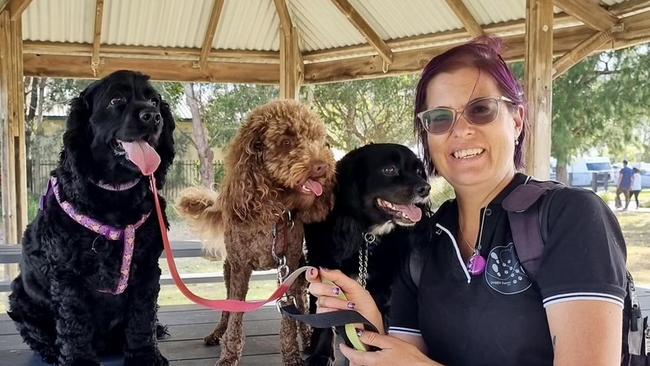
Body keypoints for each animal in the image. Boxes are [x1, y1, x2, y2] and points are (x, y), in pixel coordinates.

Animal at [8, 70, 175, 364]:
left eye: (154, 101)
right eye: (116, 100)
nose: (153, 116)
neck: (116, 196)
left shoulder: (146, 269)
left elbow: (141, 318)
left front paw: (144, 355)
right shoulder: (68, 276)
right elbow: (74, 324)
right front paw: (78, 359)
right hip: (19, 296)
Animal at [176, 100, 334, 366]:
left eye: (317, 138)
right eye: (287, 141)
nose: (322, 166)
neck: (271, 211)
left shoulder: (289, 265)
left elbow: (290, 316)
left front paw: (292, 354)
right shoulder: (240, 267)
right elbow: (235, 315)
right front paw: (229, 353)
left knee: (301, 305)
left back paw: (307, 337)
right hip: (228, 270)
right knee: (226, 307)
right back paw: (218, 332)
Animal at [304, 143, 430, 366]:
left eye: (418, 171)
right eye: (389, 169)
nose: (426, 188)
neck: (366, 237)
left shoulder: (385, 289)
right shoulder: (322, 272)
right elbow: (323, 316)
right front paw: (320, 354)